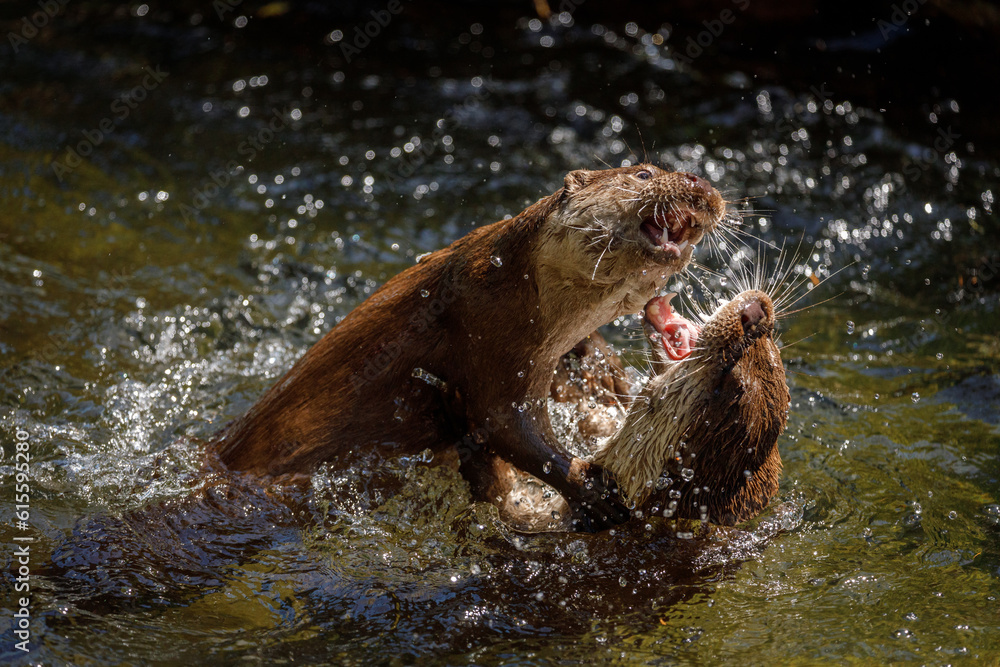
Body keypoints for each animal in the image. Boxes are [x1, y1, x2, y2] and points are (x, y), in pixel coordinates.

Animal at [212, 165, 726, 528]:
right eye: (644, 174)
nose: (700, 184)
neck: (513, 283)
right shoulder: (489, 335)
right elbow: (504, 425)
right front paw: (591, 490)